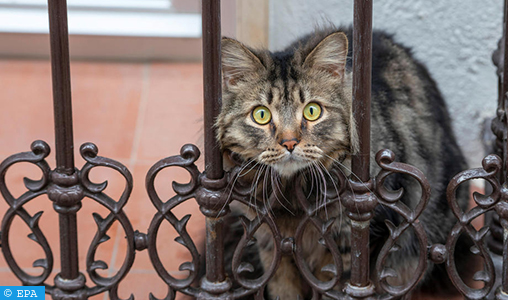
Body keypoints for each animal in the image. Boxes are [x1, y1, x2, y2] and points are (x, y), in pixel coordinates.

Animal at [216, 27, 470, 298]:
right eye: (261, 115)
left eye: (312, 111)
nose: (289, 142)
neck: (291, 198)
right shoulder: (270, 240)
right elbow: (282, 288)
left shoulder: (356, 241)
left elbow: (337, 286)